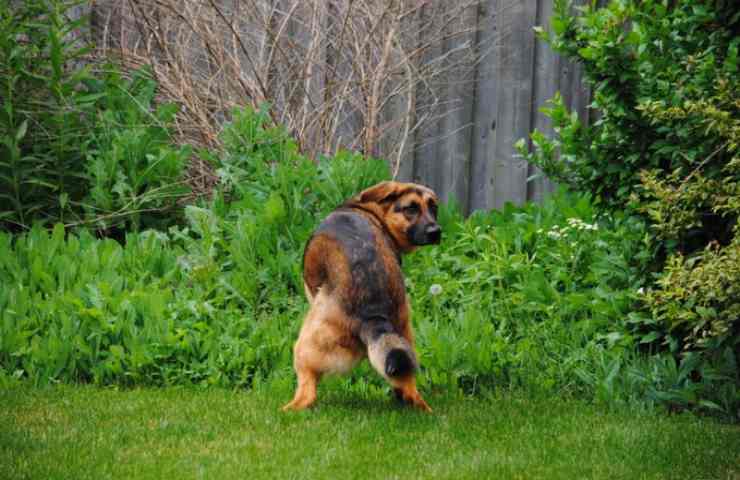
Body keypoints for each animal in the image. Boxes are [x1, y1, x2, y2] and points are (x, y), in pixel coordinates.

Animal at [284, 181, 440, 412]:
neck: (371, 211)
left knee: (307, 392)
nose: (435, 231)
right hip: (403, 335)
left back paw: (289, 409)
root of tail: (372, 310)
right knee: (408, 383)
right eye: (411, 208)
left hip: (305, 346)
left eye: (432, 207)